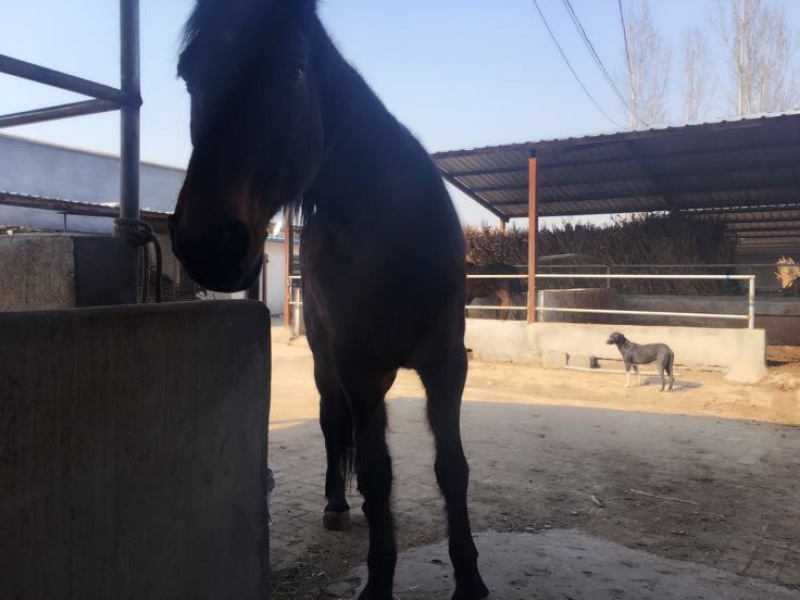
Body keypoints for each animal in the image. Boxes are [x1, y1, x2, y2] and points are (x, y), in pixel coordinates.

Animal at [168, 2, 488, 599]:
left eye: (293, 72)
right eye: (189, 74)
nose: (207, 242)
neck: (392, 229)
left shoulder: (446, 364)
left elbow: (452, 467)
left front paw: (470, 577)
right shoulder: (356, 367)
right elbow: (378, 471)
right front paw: (379, 581)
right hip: (329, 363)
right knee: (334, 427)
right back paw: (338, 502)